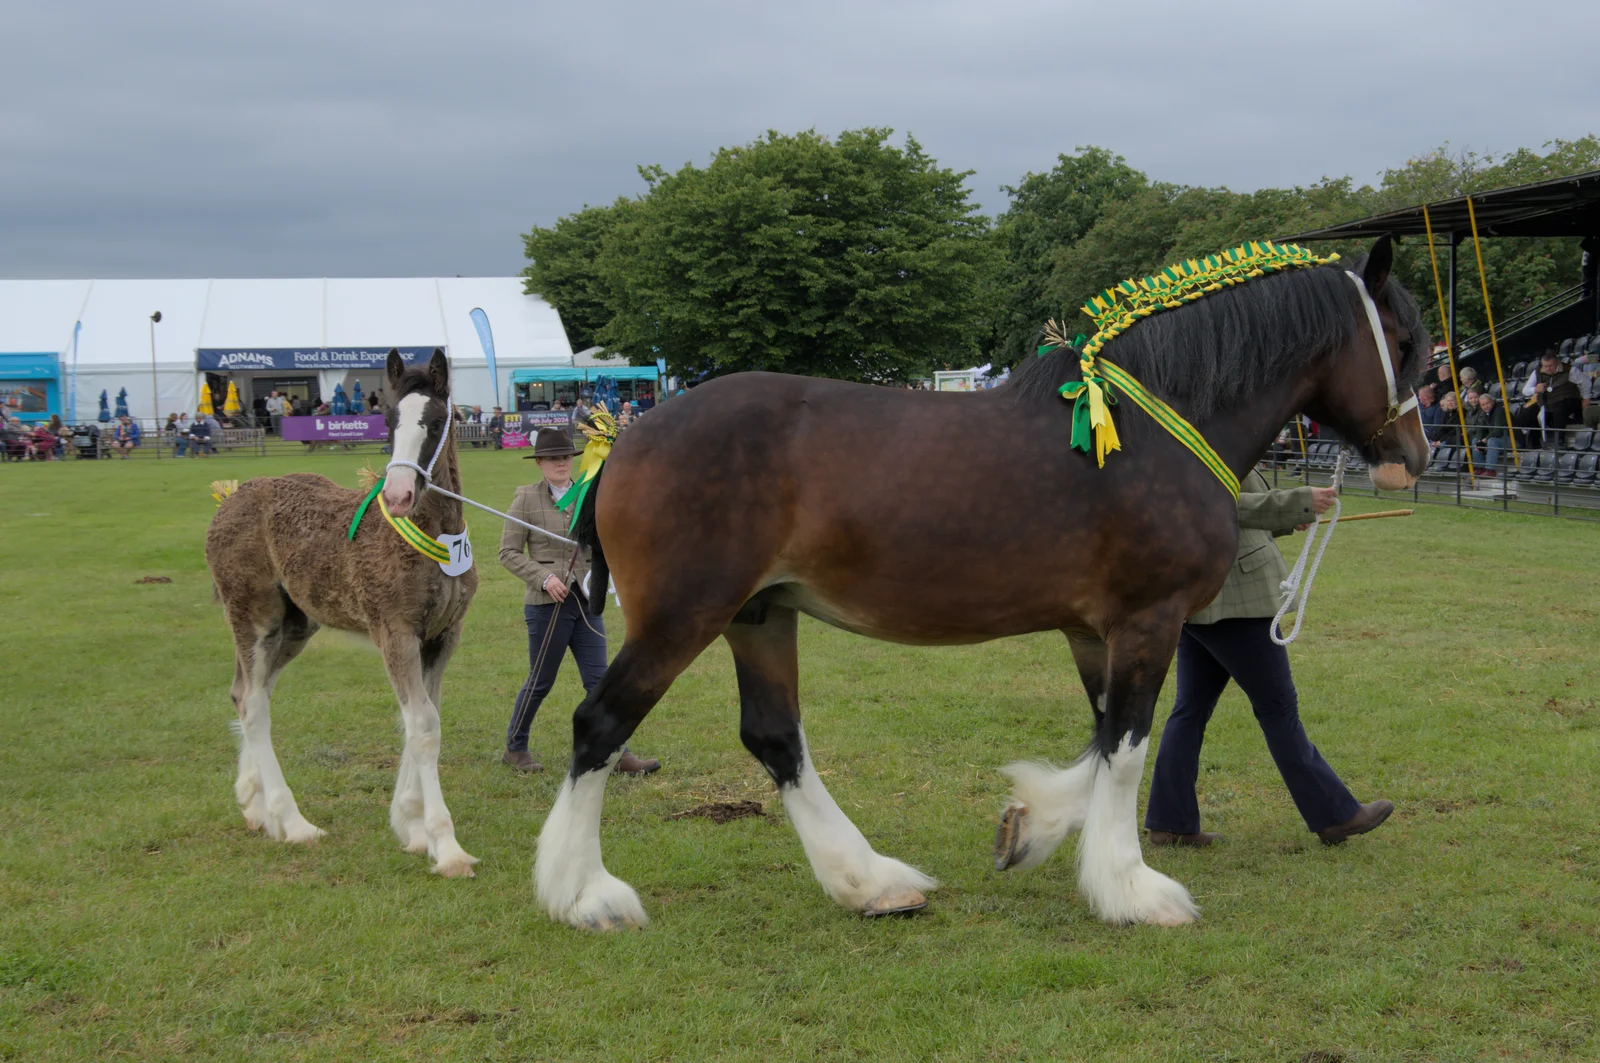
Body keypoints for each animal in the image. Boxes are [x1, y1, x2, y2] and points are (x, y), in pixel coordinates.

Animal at [203, 348, 473, 870]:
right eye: (388, 421)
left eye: (434, 423)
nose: (398, 495)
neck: (431, 538)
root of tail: (230, 500)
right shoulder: (395, 632)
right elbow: (423, 727)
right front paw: (445, 845)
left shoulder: (441, 636)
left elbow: (421, 717)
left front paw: (411, 826)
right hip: (252, 615)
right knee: (253, 705)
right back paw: (293, 823)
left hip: (294, 626)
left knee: (247, 692)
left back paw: (255, 805)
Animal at [537, 236, 1427, 928]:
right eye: (1410, 341)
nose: (1413, 456)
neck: (1154, 427)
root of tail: (627, 437)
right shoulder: (1149, 619)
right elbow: (1127, 747)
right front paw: (1131, 889)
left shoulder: (1092, 631)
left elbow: (1101, 741)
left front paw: (1028, 829)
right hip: (683, 617)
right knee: (599, 724)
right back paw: (584, 895)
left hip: (758, 616)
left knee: (774, 736)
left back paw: (869, 882)